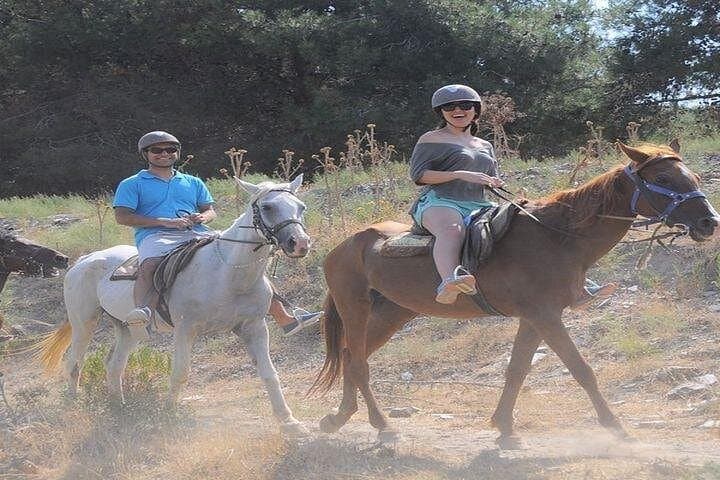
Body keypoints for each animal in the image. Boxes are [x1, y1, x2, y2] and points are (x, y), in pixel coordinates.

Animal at [38, 175, 310, 436]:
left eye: (301, 207)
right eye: (267, 207)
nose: (300, 244)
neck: (227, 273)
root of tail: (84, 259)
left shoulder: (254, 327)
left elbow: (269, 374)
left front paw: (289, 422)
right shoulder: (185, 329)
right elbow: (180, 372)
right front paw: (169, 416)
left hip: (128, 330)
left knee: (114, 367)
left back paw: (120, 409)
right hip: (84, 323)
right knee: (74, 363)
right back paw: (73, 407)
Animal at [311, 141, 720, 447]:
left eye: (695, 176)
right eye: (663, 177)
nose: (708, 222)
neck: (557, 238)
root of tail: (342, 246)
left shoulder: (535, 318)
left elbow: (516, 370)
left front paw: (504, 427)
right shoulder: (545, 316)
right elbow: (582, 370)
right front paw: (616, 428)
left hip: (392, 313)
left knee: (350, 356)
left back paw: (338, 418)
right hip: (355, 307)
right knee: (358, 364)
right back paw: (382, 425)